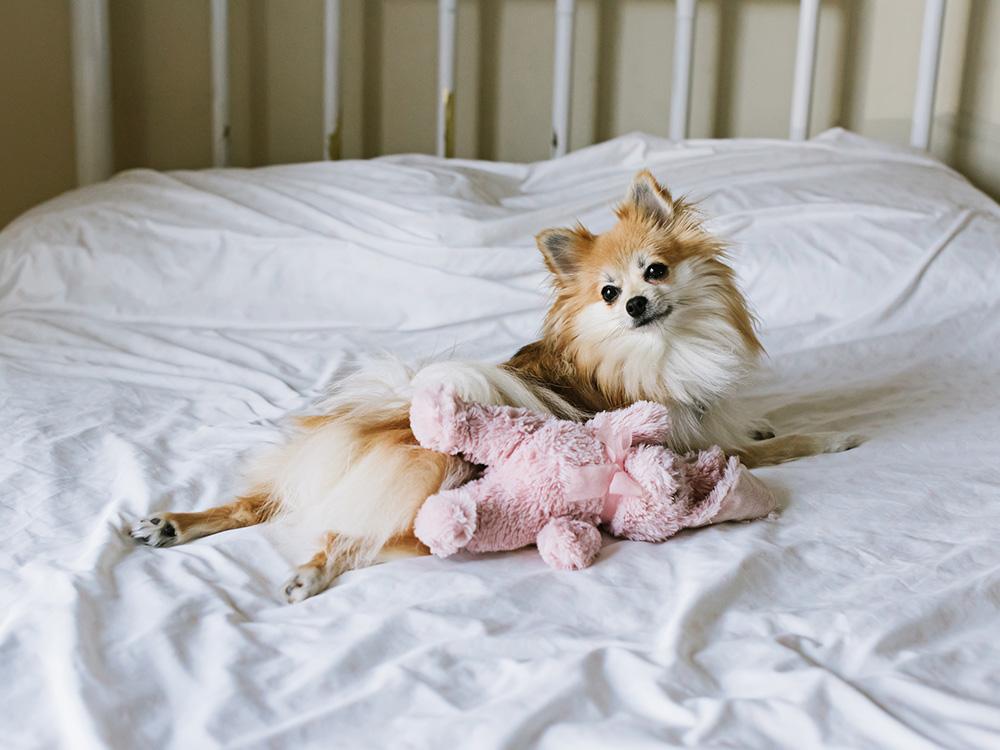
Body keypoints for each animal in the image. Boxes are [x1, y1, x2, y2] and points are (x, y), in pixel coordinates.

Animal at [131, 172, 860, 604]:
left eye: (655, 270)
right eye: (608, 293)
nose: (635, 304)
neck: (663, 348)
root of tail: (391, 415)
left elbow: (745, 421)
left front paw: (762, 418)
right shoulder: (687, 446)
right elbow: (782, 443)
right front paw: (836, 434)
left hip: (309, 477)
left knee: (258, 504)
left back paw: (174, 523)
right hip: (425, 493)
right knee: (346, 536)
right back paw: (308, 572)